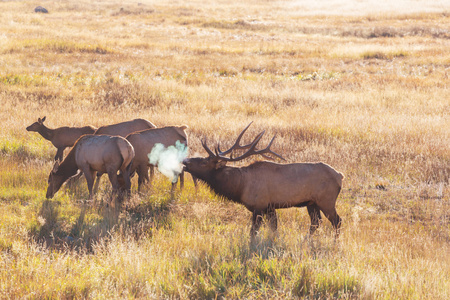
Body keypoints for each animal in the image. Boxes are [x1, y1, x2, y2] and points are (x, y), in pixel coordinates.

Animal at [181, 123, 342, 243]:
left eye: (204, 162)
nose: (185, 161)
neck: (240, 186)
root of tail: (340, 176)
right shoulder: (270, 207)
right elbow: (274, 228)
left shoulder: (259, 205)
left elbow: (253, 232)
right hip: (312, 203)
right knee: (316, 222)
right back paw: (305, 241)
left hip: (326, 200)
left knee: (337, 221)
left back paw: (335, 243)